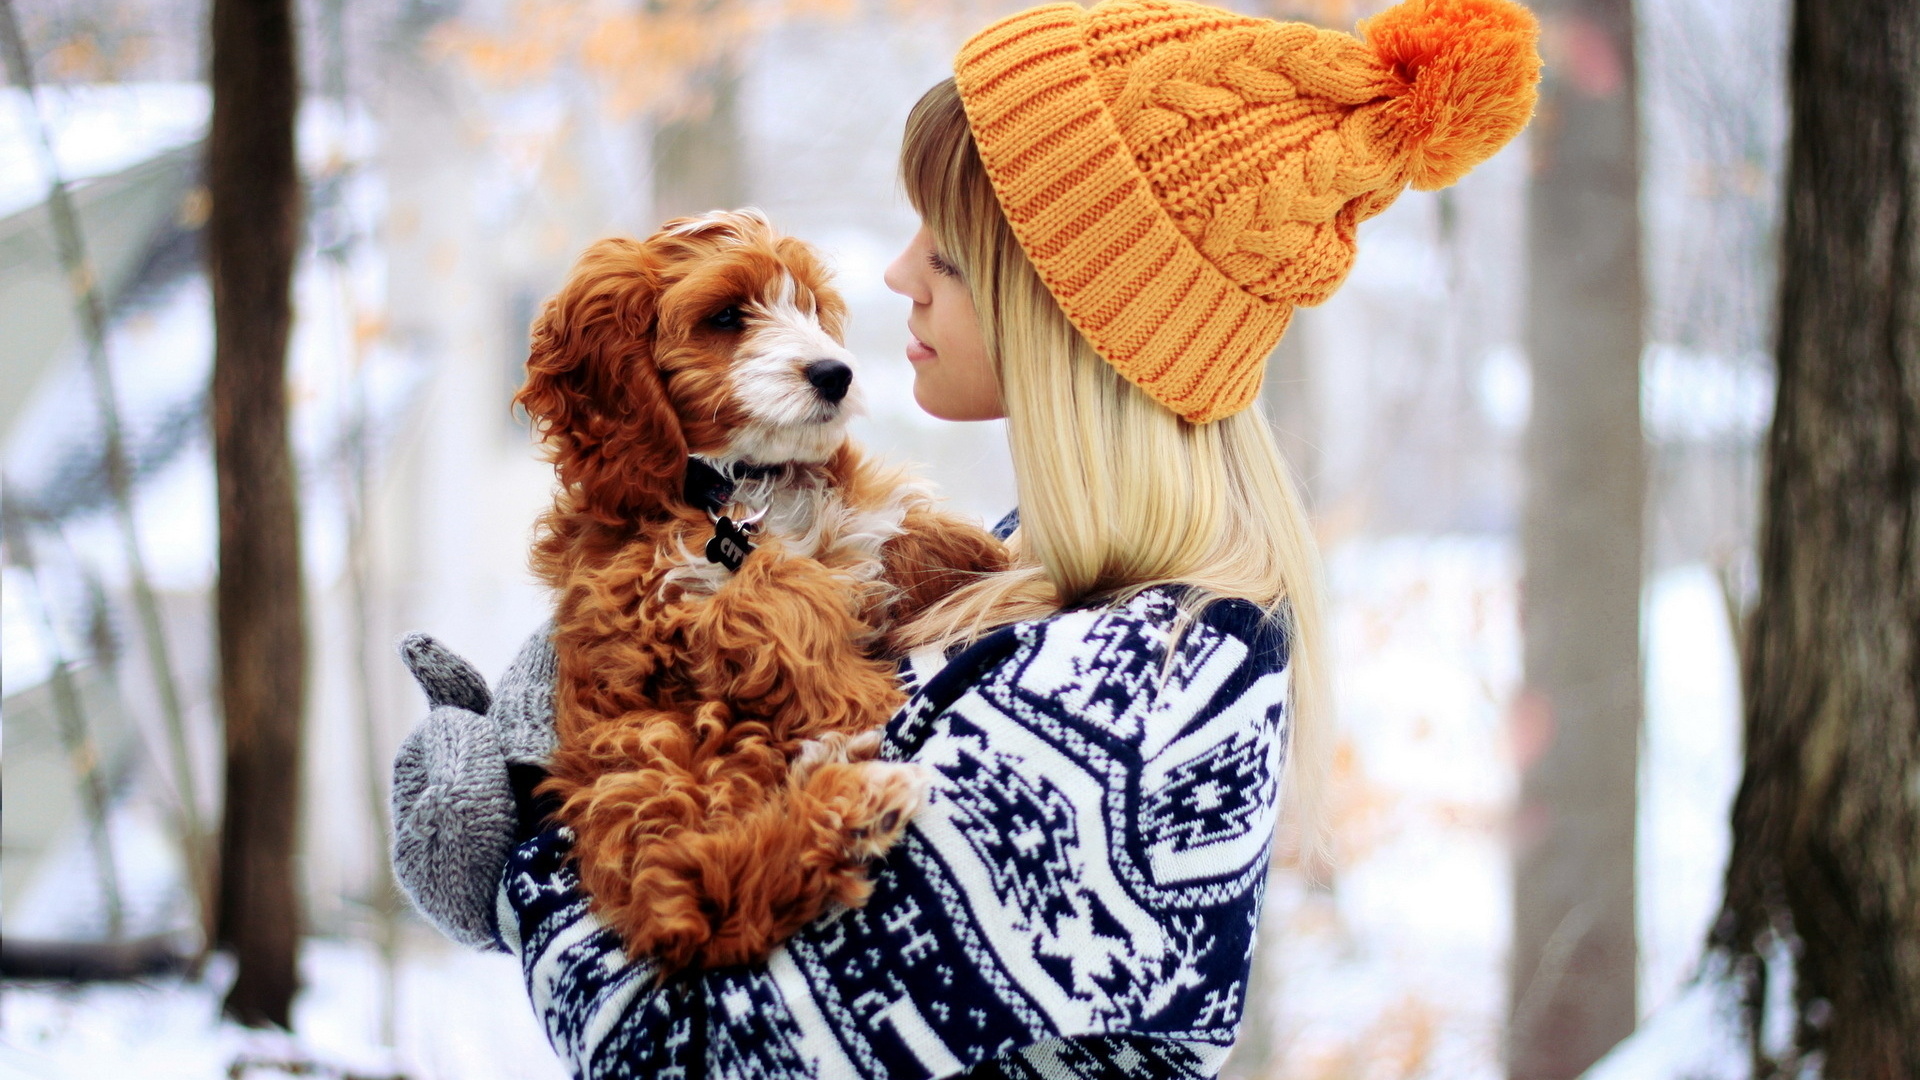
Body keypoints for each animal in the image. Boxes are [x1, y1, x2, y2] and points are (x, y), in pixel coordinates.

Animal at [518, 208, 1013, 968]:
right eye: (725, 316)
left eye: (807, 305)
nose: (836, 374)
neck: (746, 485)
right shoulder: (673, 592)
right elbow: (782, 596)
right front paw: (872, 700)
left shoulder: (853, 526)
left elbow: (899, 531)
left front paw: (992, 555)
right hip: (674, 756)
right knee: (722, 878)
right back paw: (853, 796)